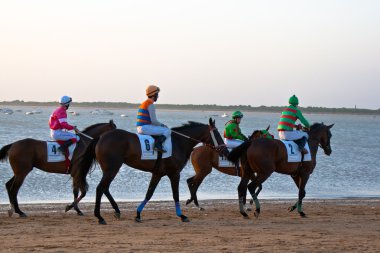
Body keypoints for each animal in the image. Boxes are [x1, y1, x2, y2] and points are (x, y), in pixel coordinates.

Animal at [72, 117, 224, 224]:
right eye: (217, 133)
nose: (224, 149)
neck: (178, 143)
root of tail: (100, 137)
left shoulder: (157, 173)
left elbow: (149, 193)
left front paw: (138, 214)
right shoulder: (174, 173)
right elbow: (175, 195)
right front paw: (182, 215)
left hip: (110, 169)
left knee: (105, 188)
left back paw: (114, 211)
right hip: (112, 168)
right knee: (100, 188)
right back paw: (99, 217)